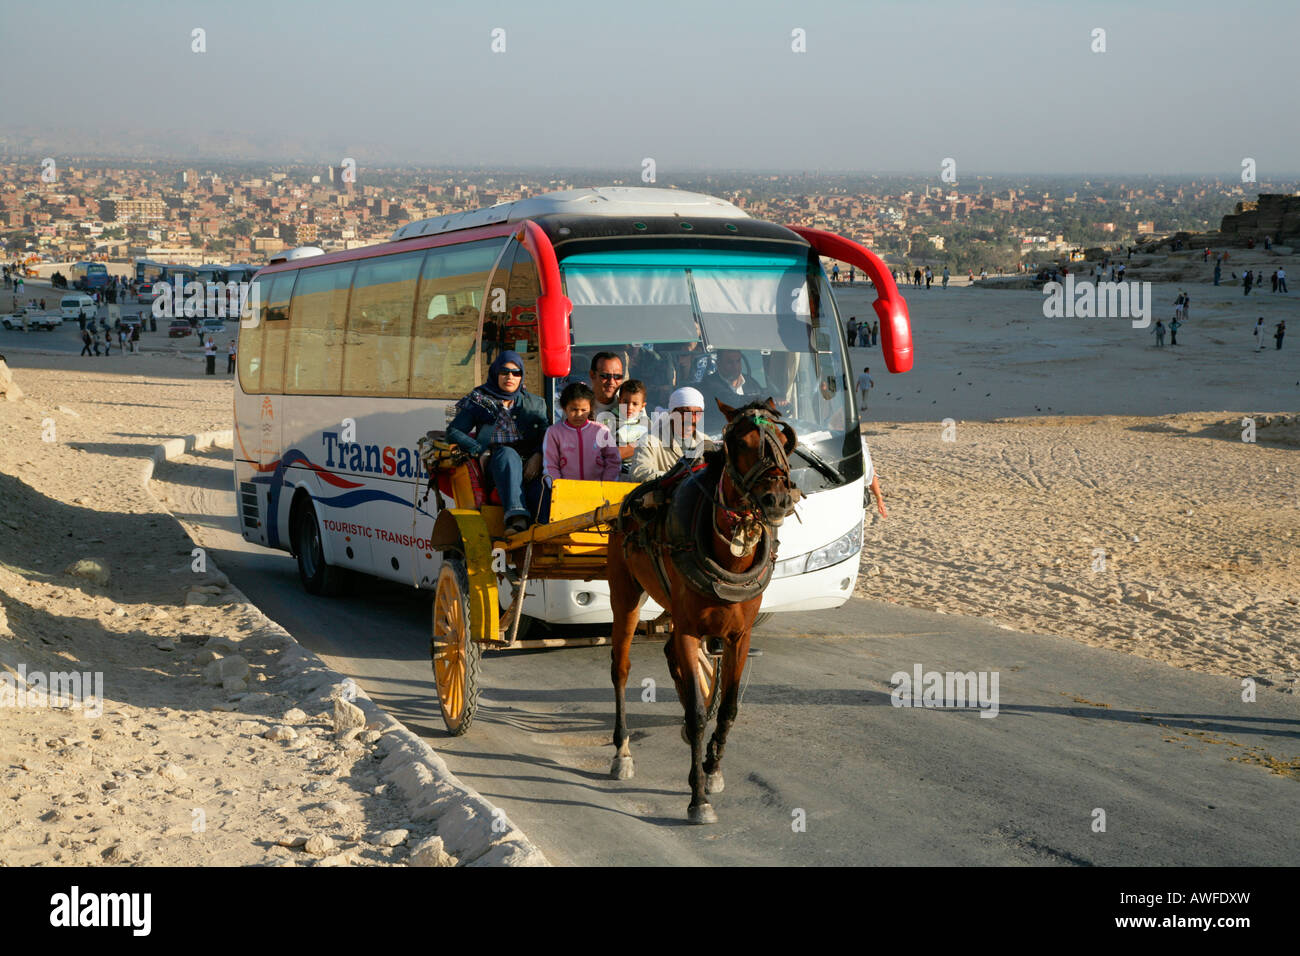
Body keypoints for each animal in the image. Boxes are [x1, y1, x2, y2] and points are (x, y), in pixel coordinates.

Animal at [603, 395, 795, 822]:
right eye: (740, 443)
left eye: (782, 441)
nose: (777, 499)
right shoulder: (690, 629)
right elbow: (695, 713)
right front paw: (698, 798)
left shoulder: (739, 635)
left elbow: (727, 707)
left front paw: (712, 767)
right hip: (624, 593)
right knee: (620, 668)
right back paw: (621, 753)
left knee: (670, 654)